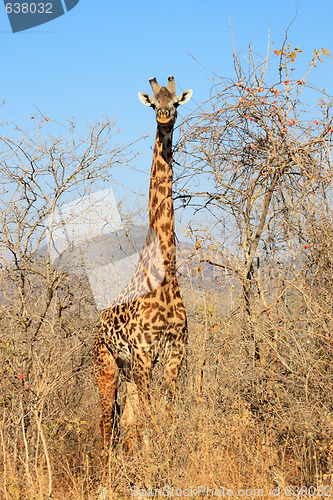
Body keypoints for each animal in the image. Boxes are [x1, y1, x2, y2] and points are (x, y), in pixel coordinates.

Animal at [92, 75, 192, 454]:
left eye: (176, 103)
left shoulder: (175, 351)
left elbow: (166, 415)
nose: (164, 117)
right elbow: (153, 418)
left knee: (129, 420)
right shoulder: (145, 352)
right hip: (106, 366)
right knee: (107, 422)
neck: (166, 277)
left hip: (128, 370)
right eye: (153, 103)